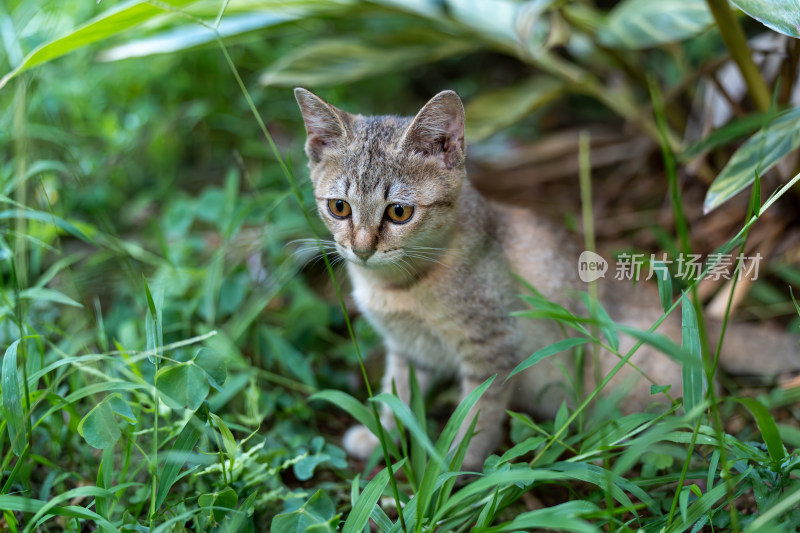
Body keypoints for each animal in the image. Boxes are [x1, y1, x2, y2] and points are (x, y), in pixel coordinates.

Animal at [294, 86, 800, 470]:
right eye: (338, 207)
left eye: (399, 212)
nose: (361, 249)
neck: (399, 287)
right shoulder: (406, 349)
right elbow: (396, 394)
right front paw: (381, 434)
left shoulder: (493, 350)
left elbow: (476, 419)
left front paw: (451, 470)